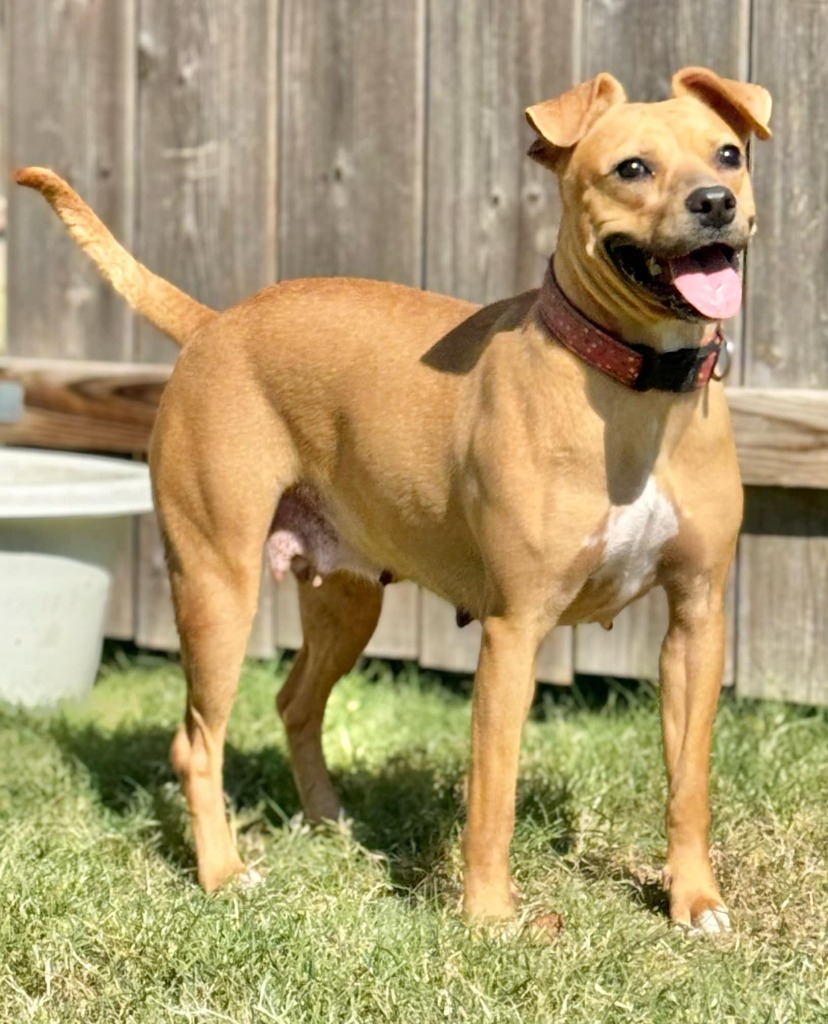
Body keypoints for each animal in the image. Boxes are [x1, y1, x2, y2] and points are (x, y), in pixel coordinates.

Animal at [17, 66, 769, 937]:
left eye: (729, 152)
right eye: (633, 168)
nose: (715, 200)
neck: (633, 386)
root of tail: (212, 325)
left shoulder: (697, 621)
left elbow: (689, 781)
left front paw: (695, 901)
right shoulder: (515, 632)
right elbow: (492, 792)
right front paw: (489, 919)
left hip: (345, 601)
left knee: (295, 702)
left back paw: (329, 824)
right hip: (216, 588)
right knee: (197, 741)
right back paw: (222, 873)